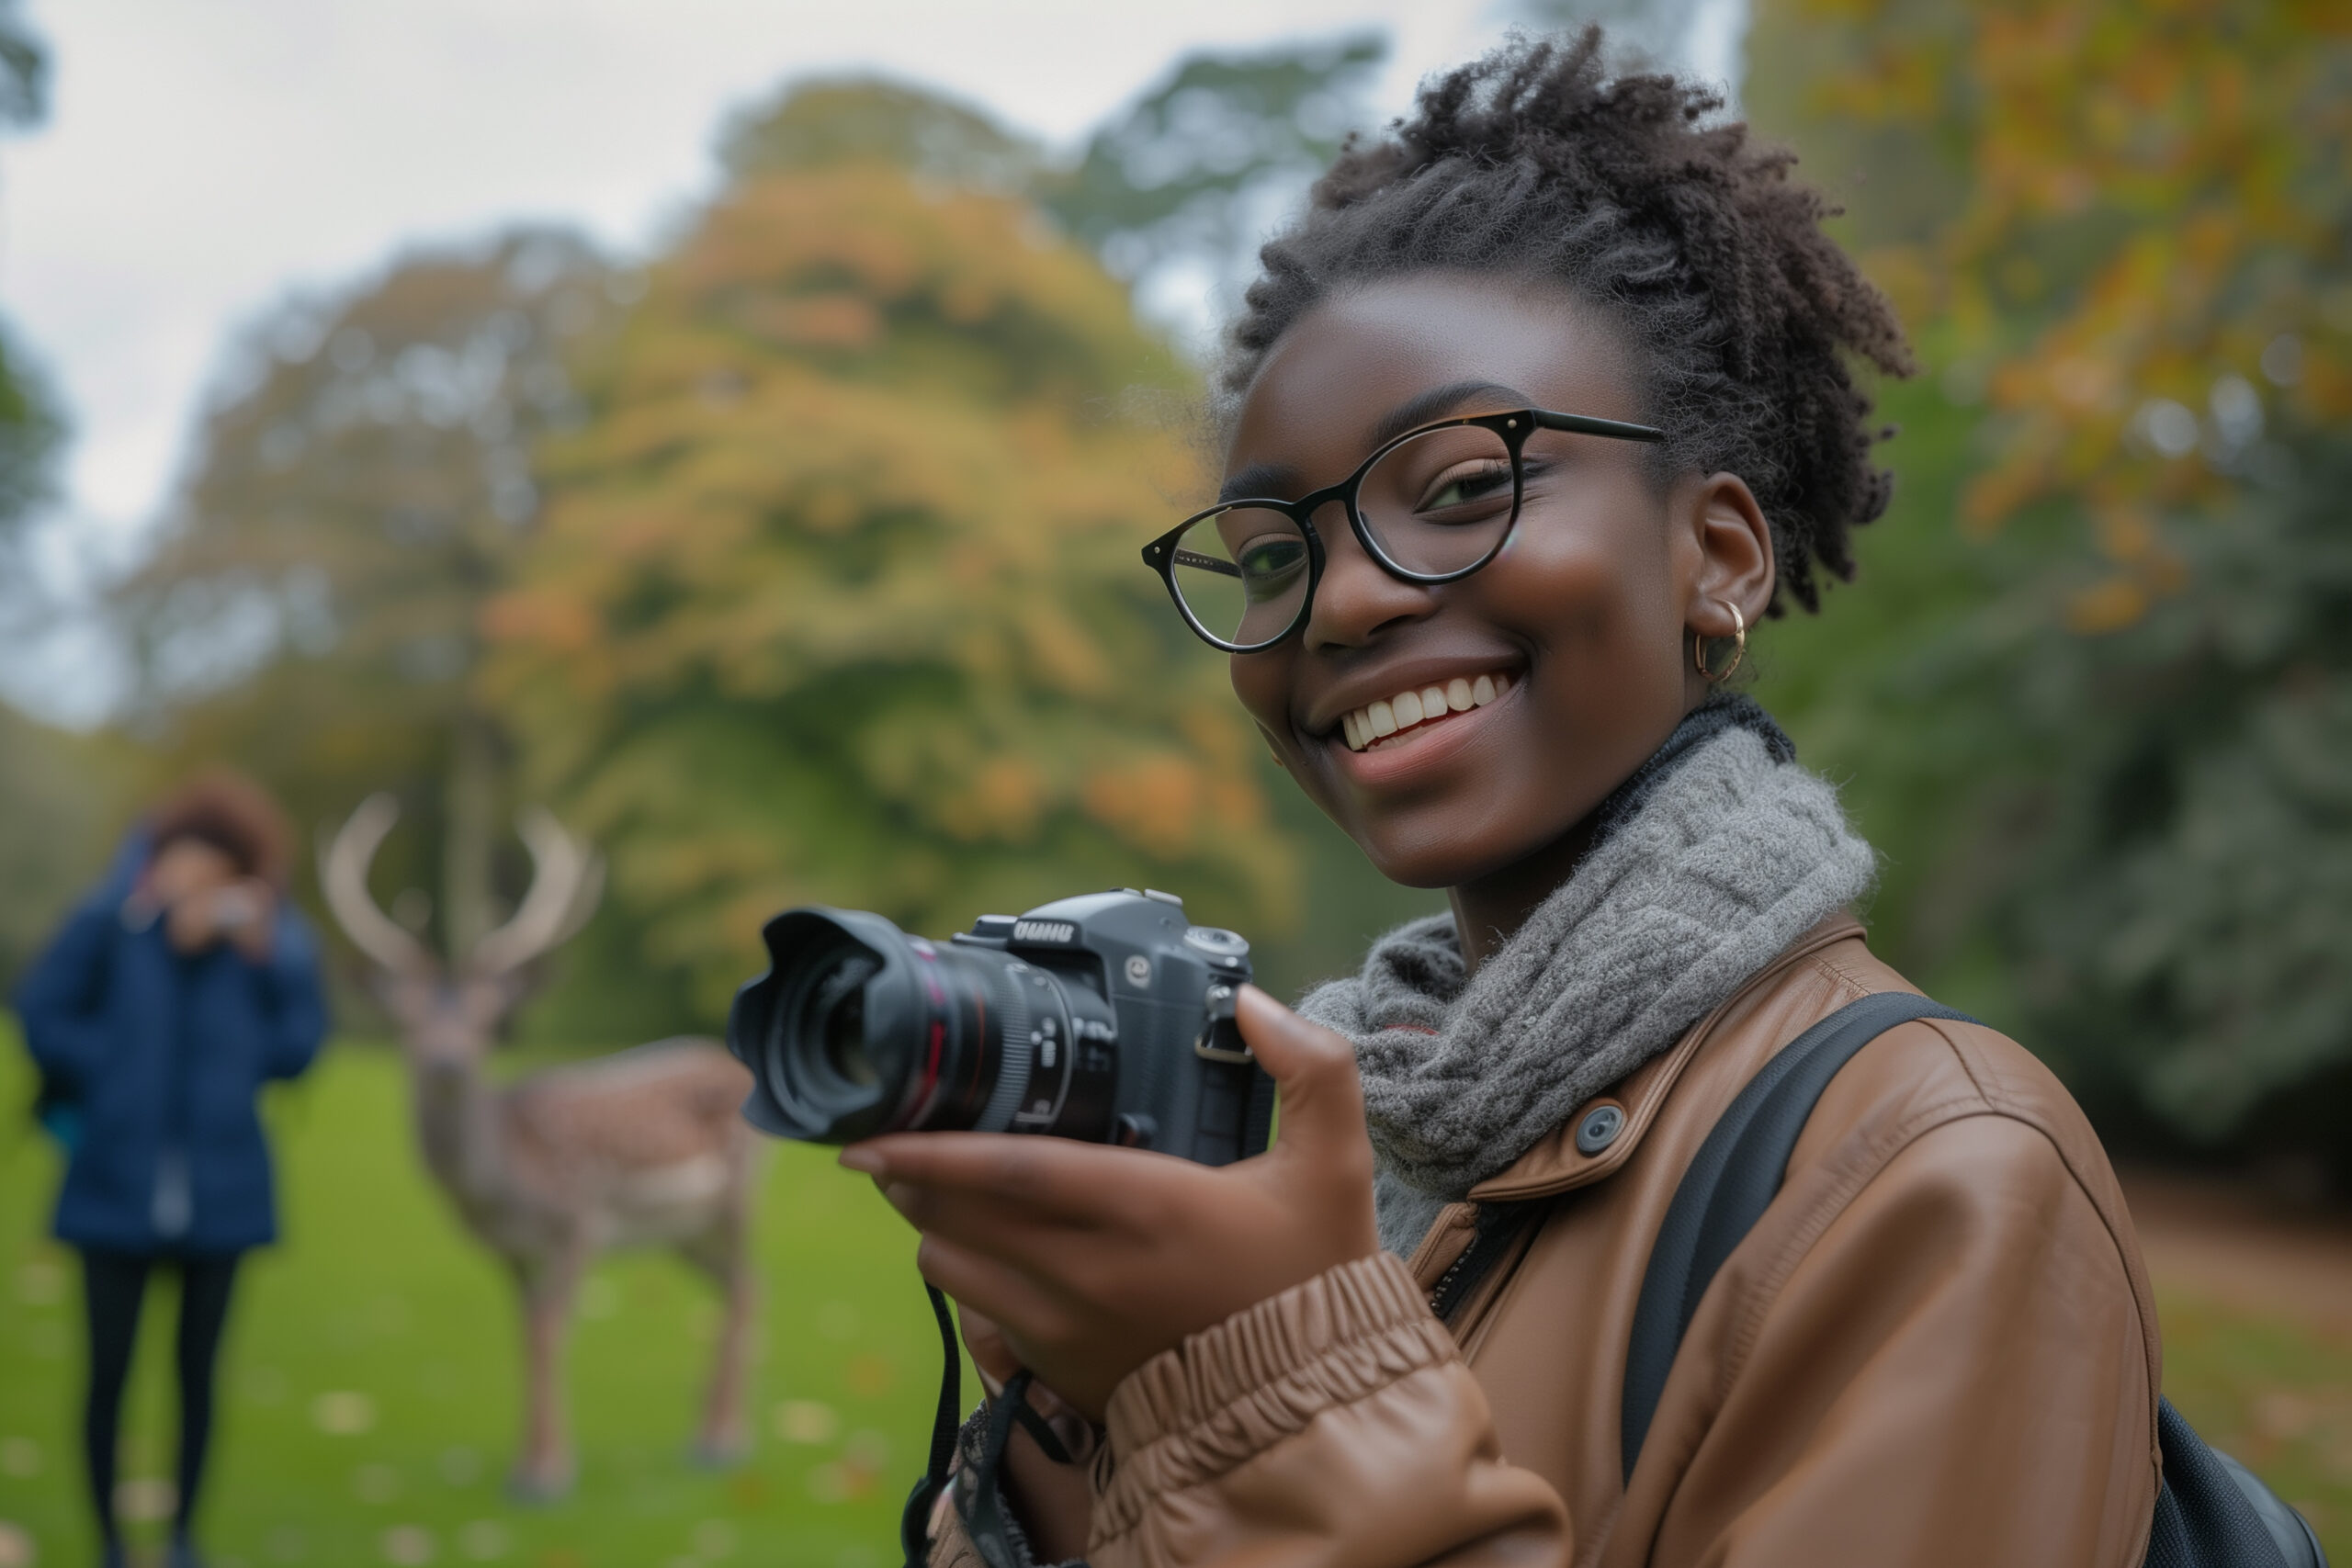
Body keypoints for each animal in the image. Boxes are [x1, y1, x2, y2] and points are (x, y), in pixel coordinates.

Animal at [317, 804, 757, 1504]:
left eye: (487, 1019)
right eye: (406, 1021)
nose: (447, 1064)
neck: (503, 1186)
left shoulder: (579, 1222)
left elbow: (552, 1334)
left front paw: (549, 1476)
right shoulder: (509, 1250)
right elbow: (524, 1335)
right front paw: (523, 1465)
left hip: (736, 1196)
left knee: (747, 1288)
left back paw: (723, 1442)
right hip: (681, 1231)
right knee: (737, 1288)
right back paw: (707, 1433)